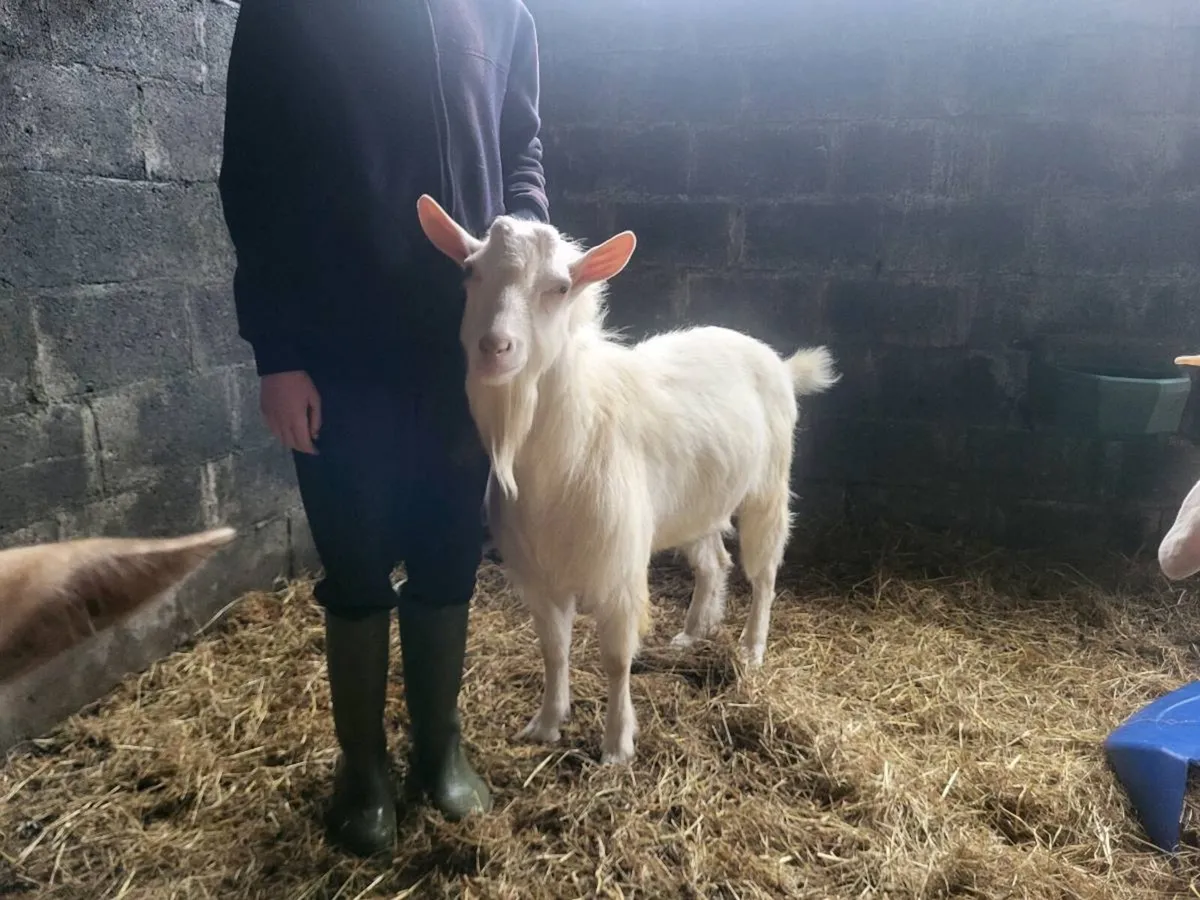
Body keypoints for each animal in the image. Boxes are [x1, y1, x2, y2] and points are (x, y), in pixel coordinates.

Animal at [417, 194, 839, 764]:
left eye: (559, 287)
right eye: (469, 271)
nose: (494, 347)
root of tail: (779, 363)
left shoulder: (617, 566)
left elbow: (616, 660)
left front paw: (617, 745)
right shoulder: (539, 573)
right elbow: (553, 649)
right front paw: (546, 723)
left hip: (768, 487)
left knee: (765, 570)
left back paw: (751, 649)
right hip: (694, 504)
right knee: (714, 561)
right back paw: (692, 634)